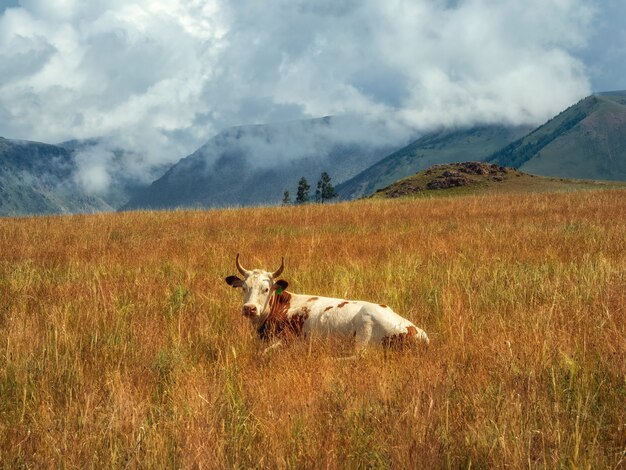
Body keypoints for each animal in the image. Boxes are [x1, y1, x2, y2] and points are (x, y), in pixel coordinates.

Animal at [222, 253, 426, 352]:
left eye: (266, 289)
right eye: (244, 287)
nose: (249, 309)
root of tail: (418, 332)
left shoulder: (288, 340)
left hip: (364, 333)